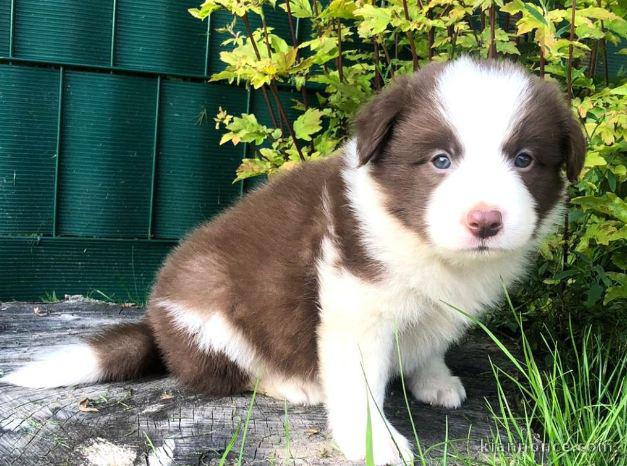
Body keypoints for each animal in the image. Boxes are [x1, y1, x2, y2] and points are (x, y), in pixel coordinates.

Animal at [2, 57, 588, 462]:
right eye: (440, 161)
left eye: (525, 159)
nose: (485, 221)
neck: (418, 239)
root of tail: (156, 324)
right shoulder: (355, 309)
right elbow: (358, 387)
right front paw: (377, 443)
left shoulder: (443, 305)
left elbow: (431, 343)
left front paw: (434, 378)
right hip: (209, 309)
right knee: (229, 372)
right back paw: (295, 384)